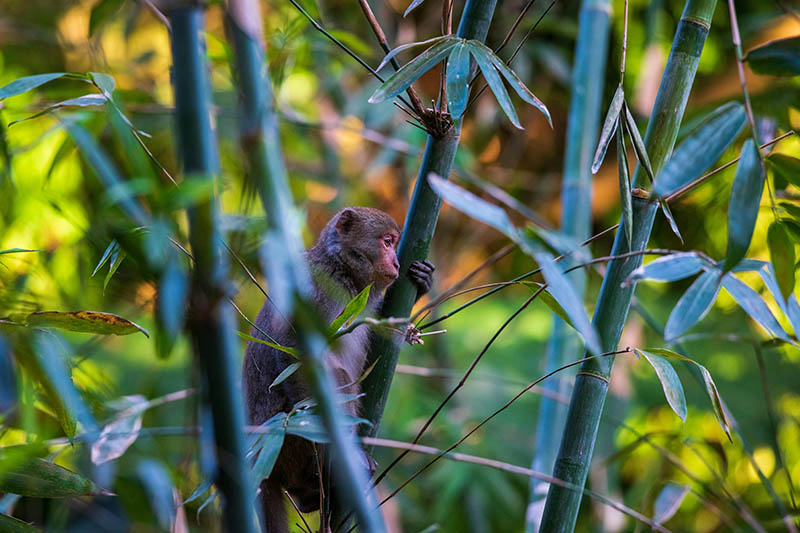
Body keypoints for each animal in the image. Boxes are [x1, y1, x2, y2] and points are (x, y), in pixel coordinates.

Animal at [242, 206, 434, 528]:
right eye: (386, 241)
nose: (396, 262)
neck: (342, 273)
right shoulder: (312, 291)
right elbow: (296, 354)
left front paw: (423, 282)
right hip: (287, 440)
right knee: (334, 379)